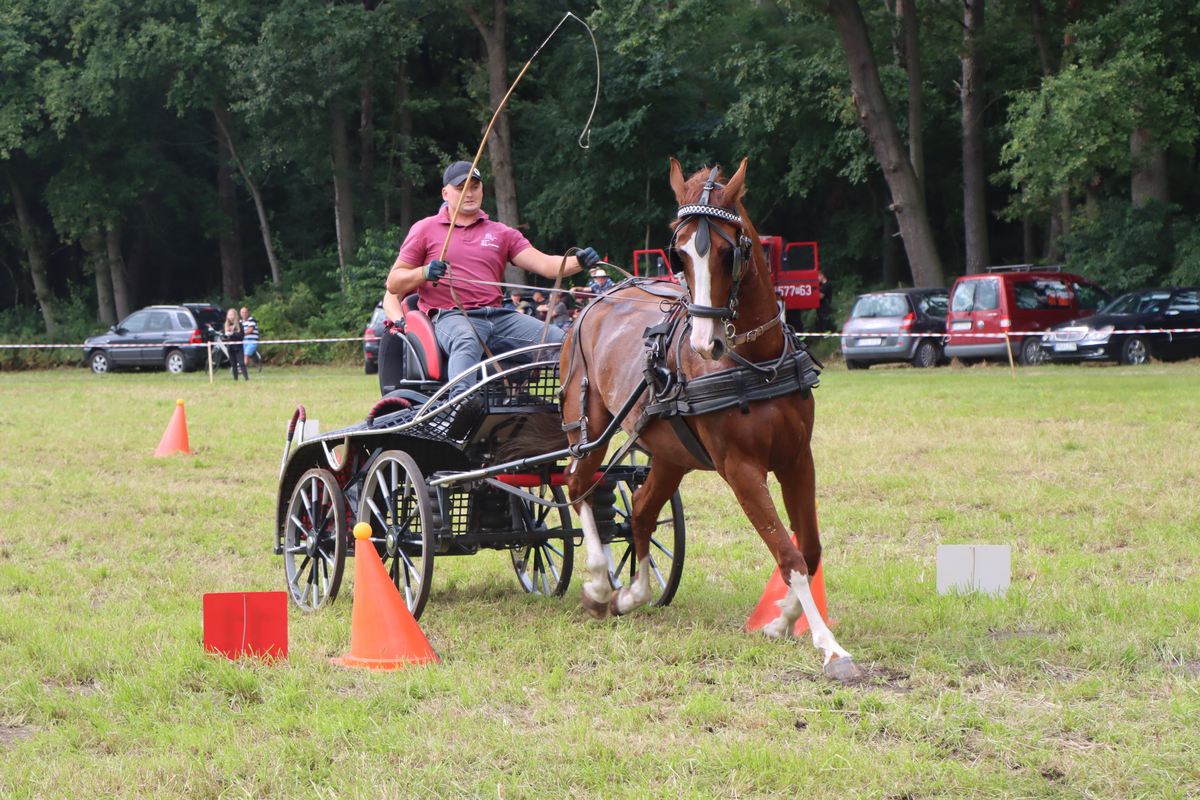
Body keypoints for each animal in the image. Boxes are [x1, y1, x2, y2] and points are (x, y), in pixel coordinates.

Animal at [561, 158, 864, 681]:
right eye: (677, 254)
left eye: (729, 250)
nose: (705, 344)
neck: (756, 364)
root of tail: (595, 300)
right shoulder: (740, 469)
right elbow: (787, 553)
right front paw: (829, 646)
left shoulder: (797, 459)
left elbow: (809, 548)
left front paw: (781, 623)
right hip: (589, 429)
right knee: (577, 485)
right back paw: (600, 585)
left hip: (670, 454)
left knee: (641, 510)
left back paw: (631, 594)